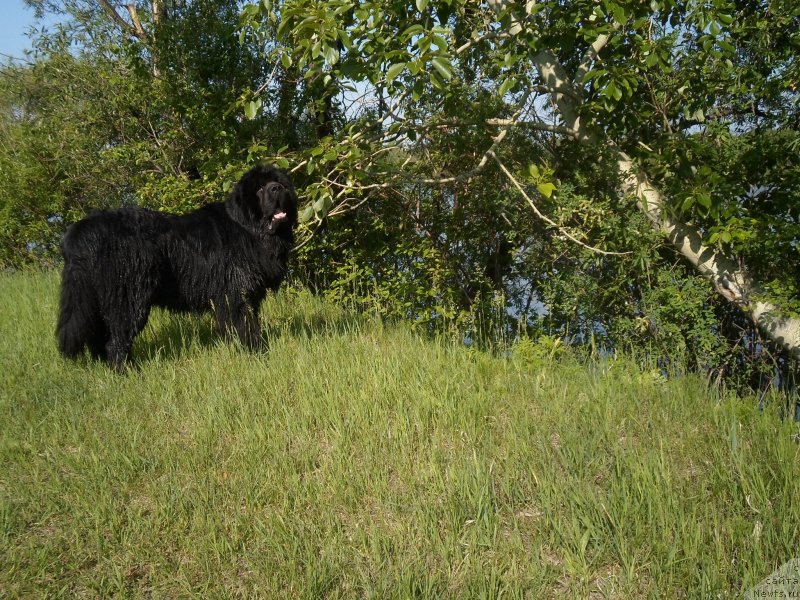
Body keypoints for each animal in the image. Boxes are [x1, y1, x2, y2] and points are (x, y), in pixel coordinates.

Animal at [56, 165, 298, 370]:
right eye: (259, 188)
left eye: (279, 182)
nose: (277, 188)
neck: (248, 228)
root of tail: (83, 228)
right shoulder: (235, 294)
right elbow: (245, 326)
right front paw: (256, 352)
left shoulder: (246, 296)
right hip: (129, 297)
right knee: (116, 339)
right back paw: (127, 371)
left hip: (98, 298)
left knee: (99, 335)